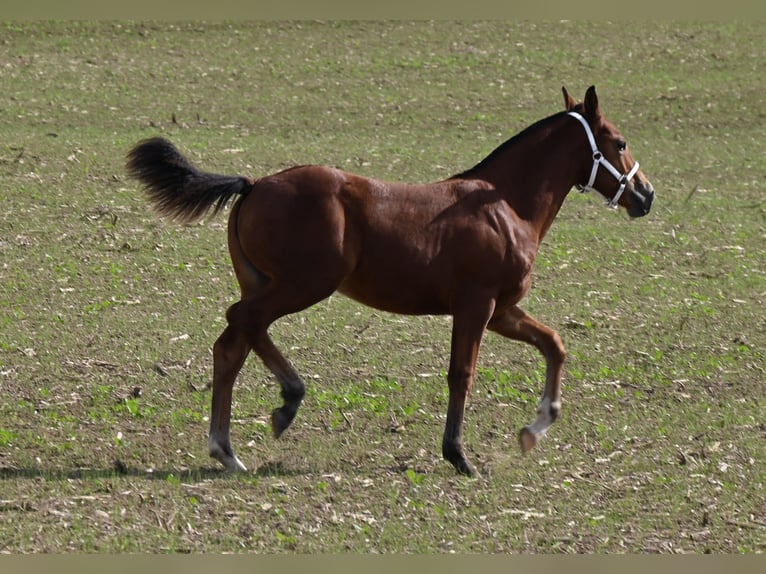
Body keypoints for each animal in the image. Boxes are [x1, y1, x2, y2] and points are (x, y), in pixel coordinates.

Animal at [126, 86, 656, 482]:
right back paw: (272, 412)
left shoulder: (502, 310)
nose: (646, 194)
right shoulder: (477, 306)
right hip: (305, 284)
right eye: (620, 141)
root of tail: (254, 184)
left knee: (234, 344)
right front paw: (458, 455)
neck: (505, 206)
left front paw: (535, 428)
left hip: (267, 284)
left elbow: (554, 344)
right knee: (241, 327)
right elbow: (462, 374)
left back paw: (238, 441)